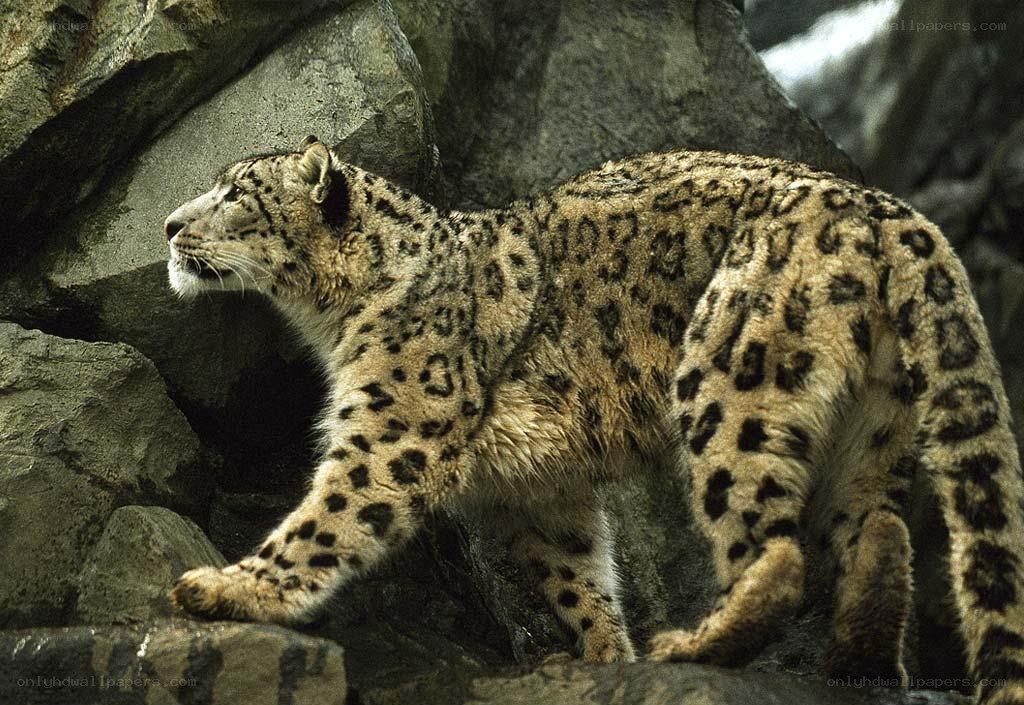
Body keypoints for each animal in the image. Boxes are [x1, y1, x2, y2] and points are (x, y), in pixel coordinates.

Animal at [165, 136, 1024, 703]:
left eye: (236, 194)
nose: (171, 224)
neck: (337, 319)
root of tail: (890, 210)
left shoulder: (394, 428)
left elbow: (327, 518)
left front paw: (227, 589)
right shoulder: (543, 489)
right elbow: (578, 573)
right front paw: (609, 655)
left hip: (729, 380)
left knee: (777, 553)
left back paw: (698, 643)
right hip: (873, 423)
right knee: (879, 533)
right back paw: (856, 659)